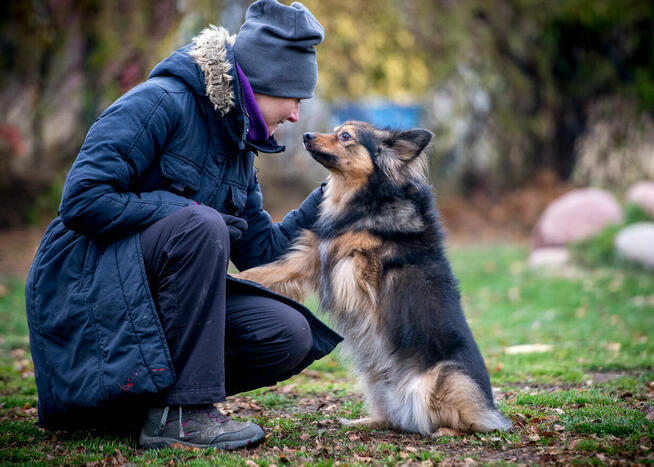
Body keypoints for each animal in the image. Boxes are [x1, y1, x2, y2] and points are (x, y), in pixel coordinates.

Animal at [236, 122, 512, 436]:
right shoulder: (309, 257)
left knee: (464, 423)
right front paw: (234, 278)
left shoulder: (354, 267)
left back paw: (444, 432)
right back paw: (360, 422)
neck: (365, 198)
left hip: (444, 378)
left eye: (345, 136)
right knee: (391, 417)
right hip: (376, 382)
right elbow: (264, 273)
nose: (306, 135)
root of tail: (490, 410)